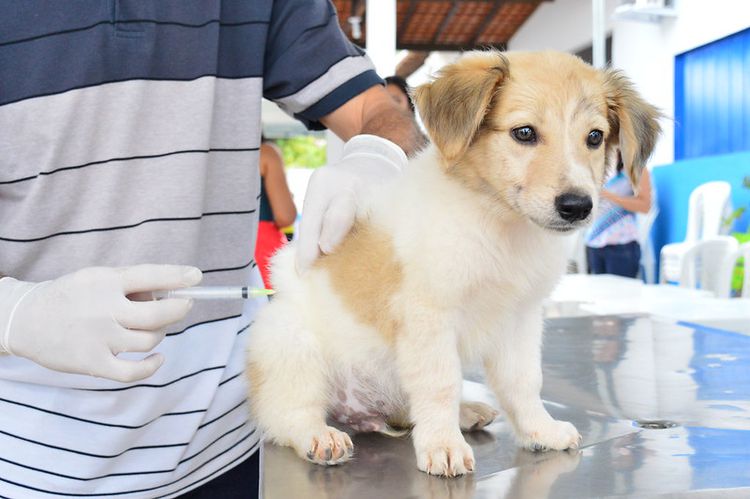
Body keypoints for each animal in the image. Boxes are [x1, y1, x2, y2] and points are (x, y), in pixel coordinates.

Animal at [250, 50, 660, 476]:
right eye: (524, 133)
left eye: (594, 137)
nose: (577, 206)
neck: (498, 224)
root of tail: (360, 412)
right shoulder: (429, 316)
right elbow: (440, 384)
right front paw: (442, 445)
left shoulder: (520, 317)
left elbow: (524, 381)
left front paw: (539, 430)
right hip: (291, 344)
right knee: (288, 412)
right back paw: (319, 436)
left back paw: (466, 412)